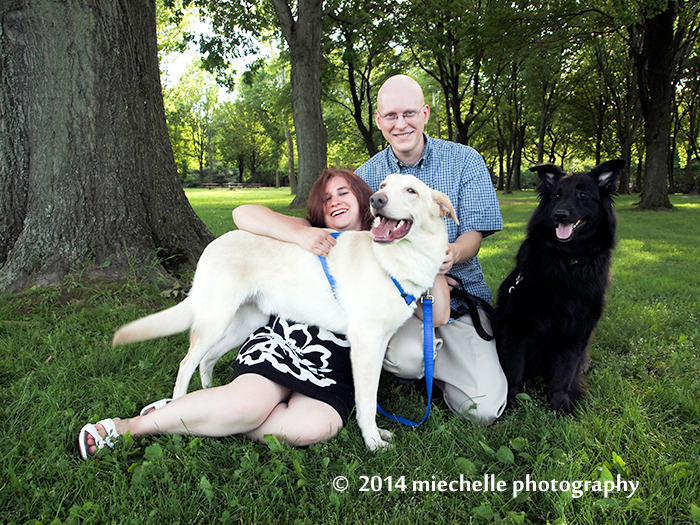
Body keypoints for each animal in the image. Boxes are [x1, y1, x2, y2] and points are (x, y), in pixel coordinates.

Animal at [112, 173, 456, 450]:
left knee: (207, 359)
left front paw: (376, 435)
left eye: (411, 190)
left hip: (242, 324)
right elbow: (367, 403)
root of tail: (213, 245)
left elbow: (370, 397)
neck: (398, 259)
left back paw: (207, 391)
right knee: (187, 363)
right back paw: (177, 406)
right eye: (383, 186)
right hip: (215, 319)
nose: (376, 199)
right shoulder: (366, 343)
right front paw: (372, 441)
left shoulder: (380, 342)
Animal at [494, 158, 628, 412]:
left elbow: (564, 373)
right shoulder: (517, 324)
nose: (560, 215)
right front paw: (511, 401)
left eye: (583, 195)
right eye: (557, 195)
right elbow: (513, 369)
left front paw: (560, 405)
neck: (566, 260)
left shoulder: (577, 330)